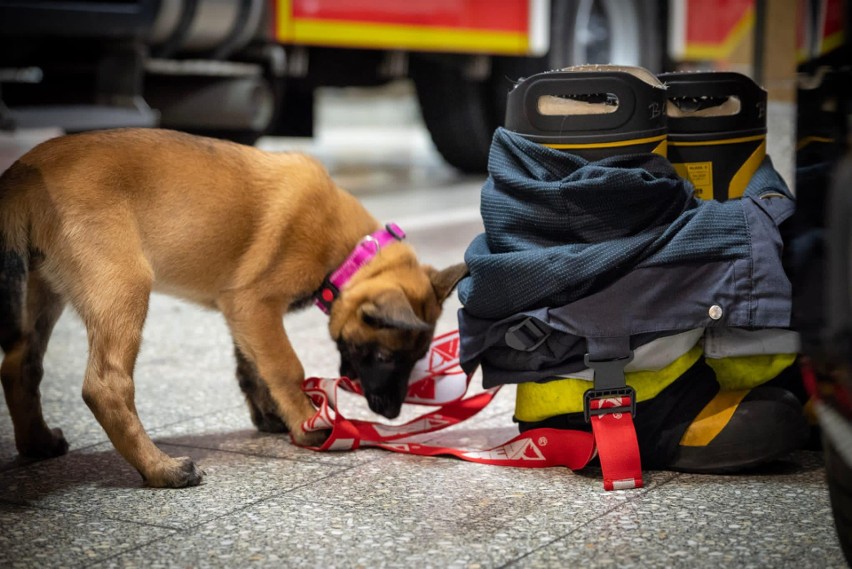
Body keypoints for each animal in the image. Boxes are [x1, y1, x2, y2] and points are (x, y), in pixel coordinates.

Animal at [0, 129, 466, 488]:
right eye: (385, 356)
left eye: (417, 358)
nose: (389, 413)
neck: (352, 253)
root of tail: (23, 172)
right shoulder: (256, 304)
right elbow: (284, 367)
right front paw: (309, 423)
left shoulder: (240, 311)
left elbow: (251, 367)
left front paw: (274, 416)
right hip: (123, 286)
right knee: (105, 385)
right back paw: (161, 470)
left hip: (43, 291)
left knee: (21, 366)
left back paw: (38, 444)